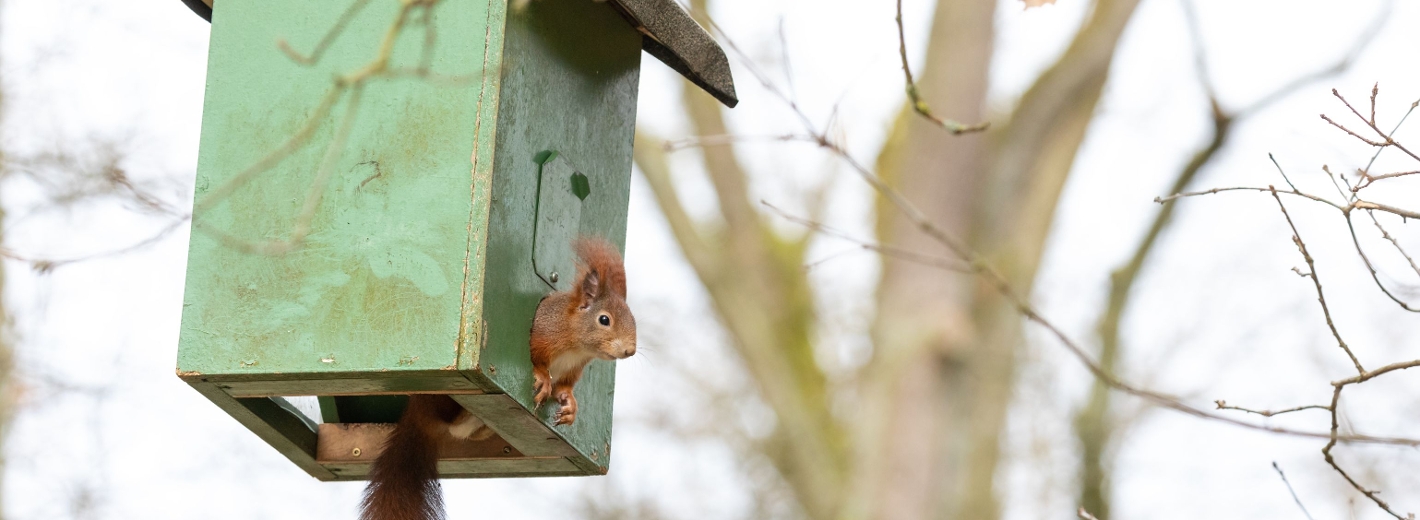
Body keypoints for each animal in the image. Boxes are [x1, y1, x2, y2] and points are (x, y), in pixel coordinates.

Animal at [359, 236, 636, 520]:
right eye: (604, 319)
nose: (630, 350)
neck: (576, 347)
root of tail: (417, 413)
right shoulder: (542, 336)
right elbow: (537, 361)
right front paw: (542, 378)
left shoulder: (574, 368)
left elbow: (566, 387)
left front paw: (569, 405)